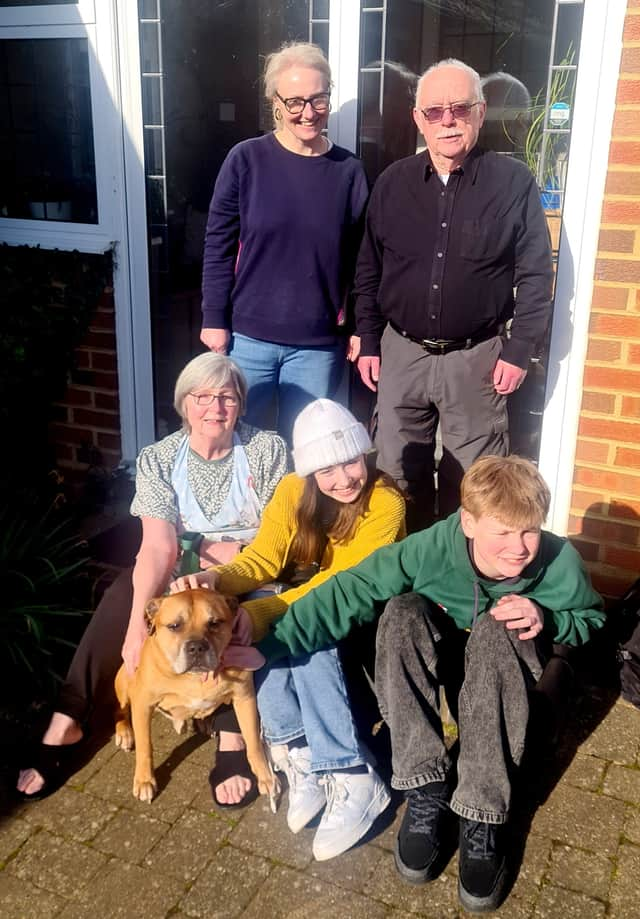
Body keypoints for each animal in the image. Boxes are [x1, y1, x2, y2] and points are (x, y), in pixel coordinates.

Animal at [114, 588, 278, 804]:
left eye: (215, 623)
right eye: (174, 626)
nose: (197, 647)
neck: (194, 678)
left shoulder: (245, 698)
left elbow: (253, 742)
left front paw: (265, 776)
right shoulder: (142, 703)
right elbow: (144, 746)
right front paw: (144, 780)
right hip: (125, 681)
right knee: (120, 710)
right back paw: (124, 733)